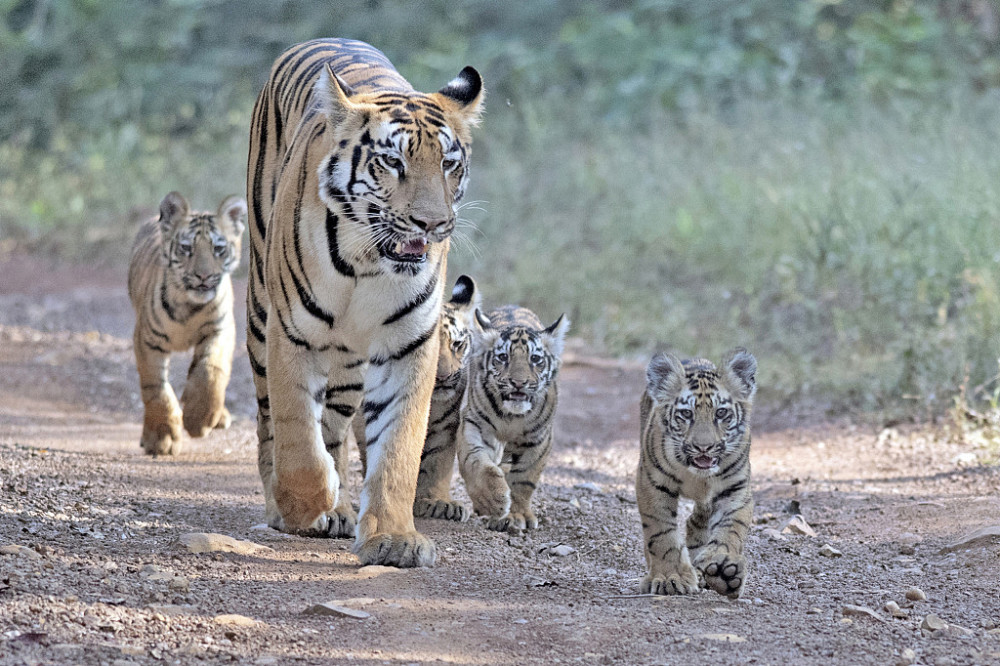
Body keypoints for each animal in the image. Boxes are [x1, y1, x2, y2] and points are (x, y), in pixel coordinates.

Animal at [128, 189, 247, 454]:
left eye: (218, 248)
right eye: (186, 248)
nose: (203, 276)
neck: (190, 307)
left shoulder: (220, 330)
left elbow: (211, 372)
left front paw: (199, 419)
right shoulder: (147, 339)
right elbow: (156, 387)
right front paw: (161, 438)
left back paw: (219, 416)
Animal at [248, 37, 486, 564]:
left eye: (448, 163)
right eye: (393, 162)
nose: (432, 224)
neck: (368, 262)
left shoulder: (407, 345)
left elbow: (398, 448)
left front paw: (393, 537)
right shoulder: (291, 334)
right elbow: (297, 434)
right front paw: (306, 503)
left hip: (350, 363)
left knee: (335, 425)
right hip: (258, 313)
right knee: (271, 421)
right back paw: (290, 506)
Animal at [456, 304, 568, 532]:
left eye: (535, 359)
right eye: (502, 357)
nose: (518, 383)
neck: (511, 417)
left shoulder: (539, 439)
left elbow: (524, 478)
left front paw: (518, 514)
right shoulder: (475, 424)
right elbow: (475, 462)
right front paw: (493, 500)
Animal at [636, 348, 752, 596]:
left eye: (721, 413)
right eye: (687, 414)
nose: (704, 447)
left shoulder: (735, 487)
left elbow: (731, 527)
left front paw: (723, 569)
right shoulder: (652, 483)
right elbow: (661, 534)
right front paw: (669, 578)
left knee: (697, 520)